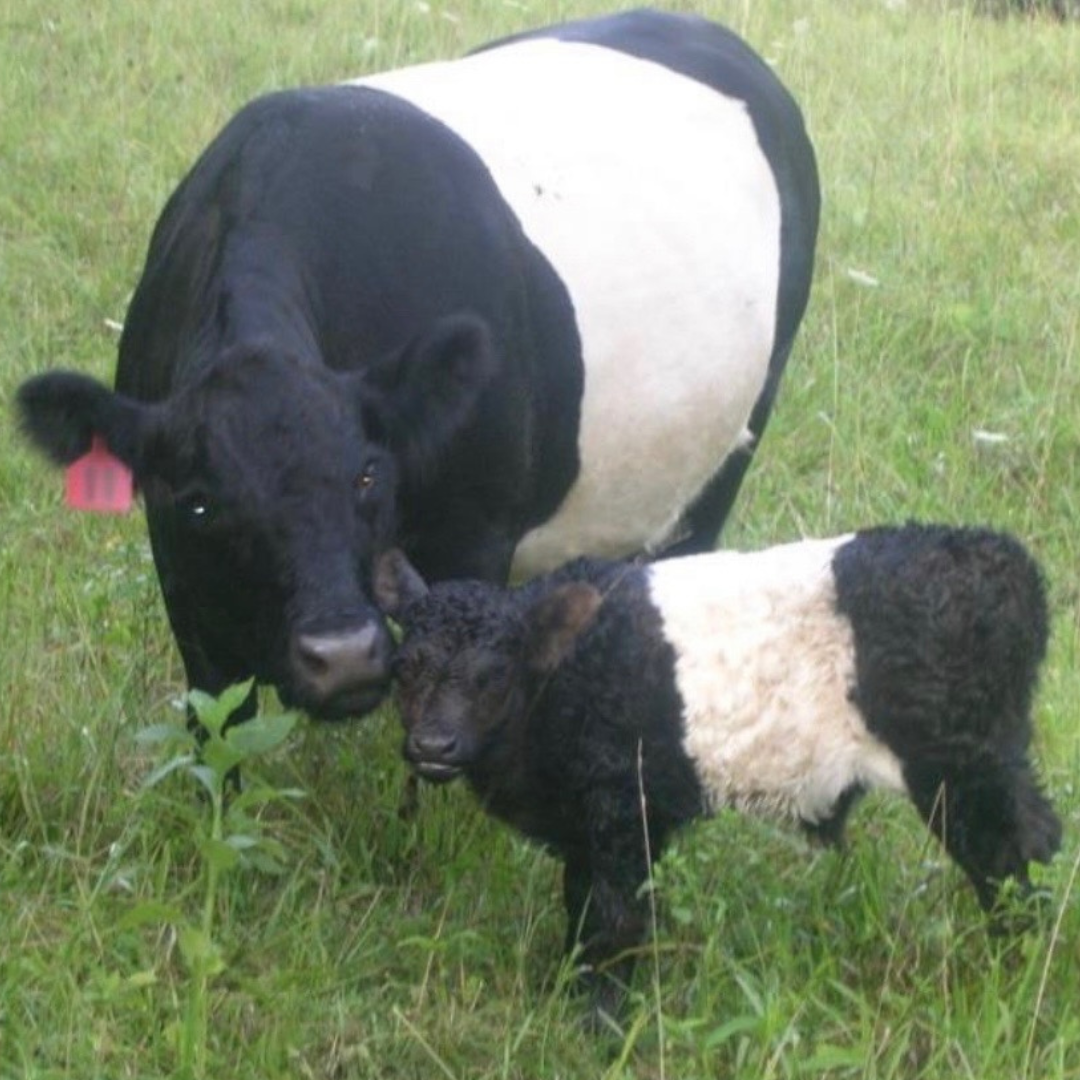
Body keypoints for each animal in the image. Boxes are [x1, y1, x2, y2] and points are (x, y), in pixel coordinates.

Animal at [14, 8, 816, 725]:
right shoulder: (184, 575)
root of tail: (709, 31)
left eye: (370, 475)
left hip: (733, 444)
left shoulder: (475, 534)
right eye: (201, 502)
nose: (341, 655)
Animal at [373, 527, 1062, 1023]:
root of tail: (996, 554)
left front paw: (600, 1022)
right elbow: (579, 904)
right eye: (403, 667)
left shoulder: (623, 810)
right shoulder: (587, 824)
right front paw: (569, 988)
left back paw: (1013, 970)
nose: (432, 744)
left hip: (959, 772)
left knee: (1004, 861)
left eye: (493, 674)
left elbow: (616, 917)